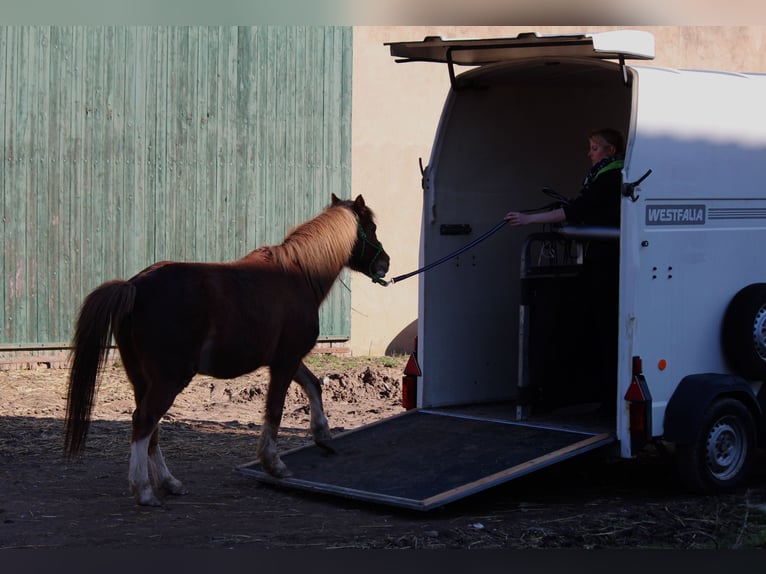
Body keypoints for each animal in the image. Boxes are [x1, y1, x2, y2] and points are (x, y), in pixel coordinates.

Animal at [63, 193, 390, 506]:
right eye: (372, 227)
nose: (385, 263)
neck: (298, 275)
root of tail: (134, 288)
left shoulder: (287, 358)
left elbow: (313, 386)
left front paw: (322, 435)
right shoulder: (285, 361)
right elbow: (275, 409)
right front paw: (273, 463)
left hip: (142, 380)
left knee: (149, 427)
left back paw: (168, 483)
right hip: (169, 379)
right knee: (144, 422)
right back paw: (143, 491)